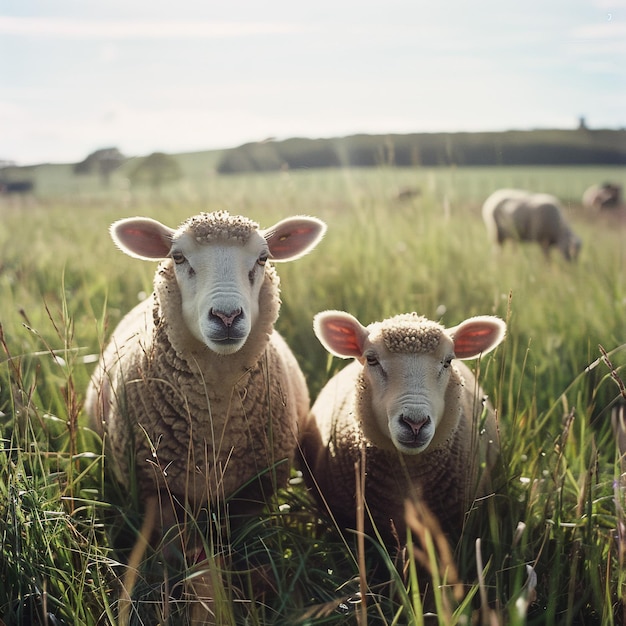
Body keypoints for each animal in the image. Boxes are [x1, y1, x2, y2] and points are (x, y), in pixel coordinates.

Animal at [84, 208, 324, 616]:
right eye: (179, 257)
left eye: (263, 259)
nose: (226, 317)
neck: (215, 420)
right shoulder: (157, 489)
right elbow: (172, 555)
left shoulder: (250, 492)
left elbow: (238, 548)